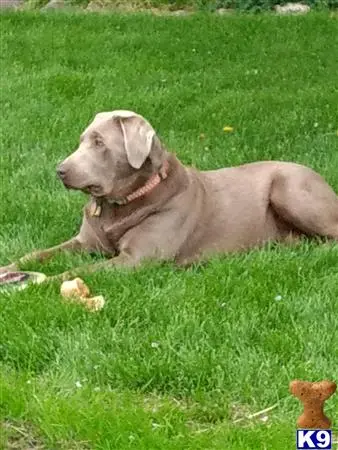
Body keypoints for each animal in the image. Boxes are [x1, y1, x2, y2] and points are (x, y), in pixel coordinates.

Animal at [0, 110, 338, 278]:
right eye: (82, 140)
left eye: (99, 143)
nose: (60, 170)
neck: (119, 206)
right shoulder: (84, 242)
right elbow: (37, 254)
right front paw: (9, 268)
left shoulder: (137, 260)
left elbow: (76, 272)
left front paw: (39, 284)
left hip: (290, 187)